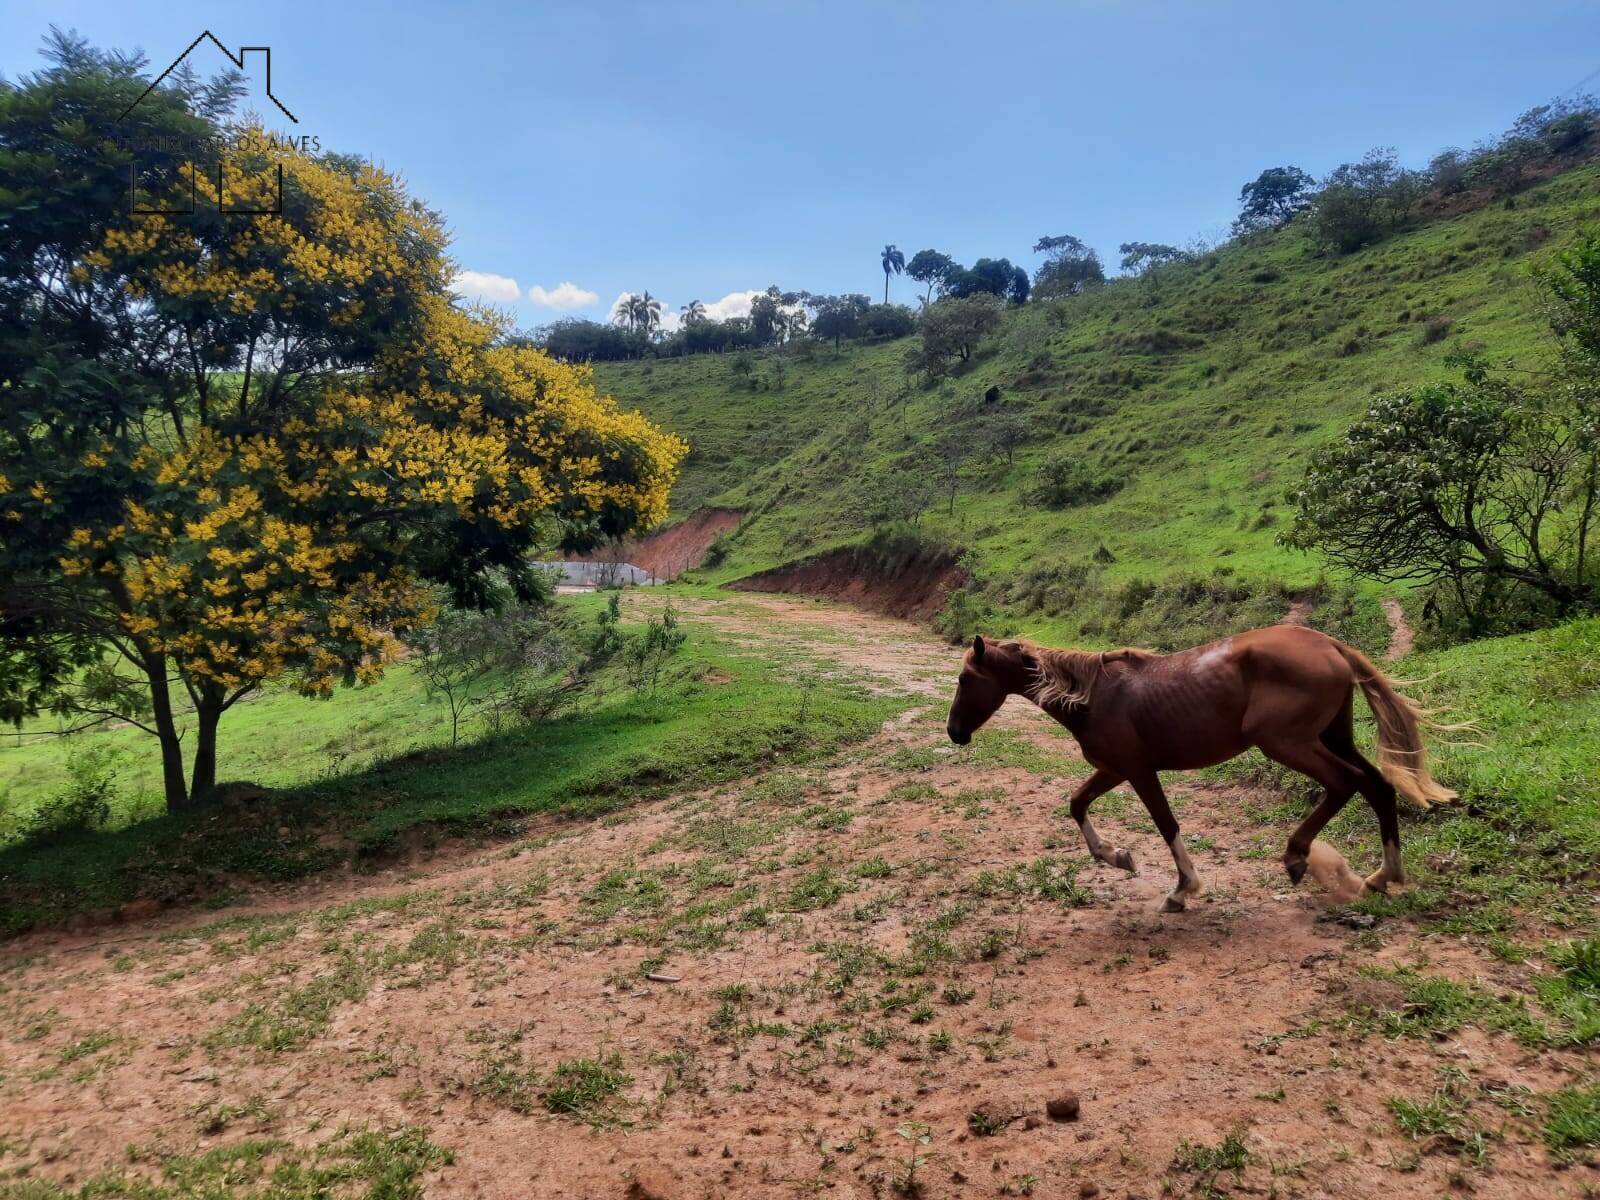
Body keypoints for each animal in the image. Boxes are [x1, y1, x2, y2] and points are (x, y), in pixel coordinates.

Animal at [940, 624, 1459, 915]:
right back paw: (1382, 876)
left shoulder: (1137, 771)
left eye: (965, 678)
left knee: (1345, 784)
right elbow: (1076, 803)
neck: (1093, 696)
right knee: (1378, 787)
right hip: (1334, 738)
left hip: (1288, 744)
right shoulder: (1113, 769)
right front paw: (1117, 856)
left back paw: (1298, 857)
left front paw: (1182, 889)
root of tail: (1328, 644)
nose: (954, 732)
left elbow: (1166, 824)